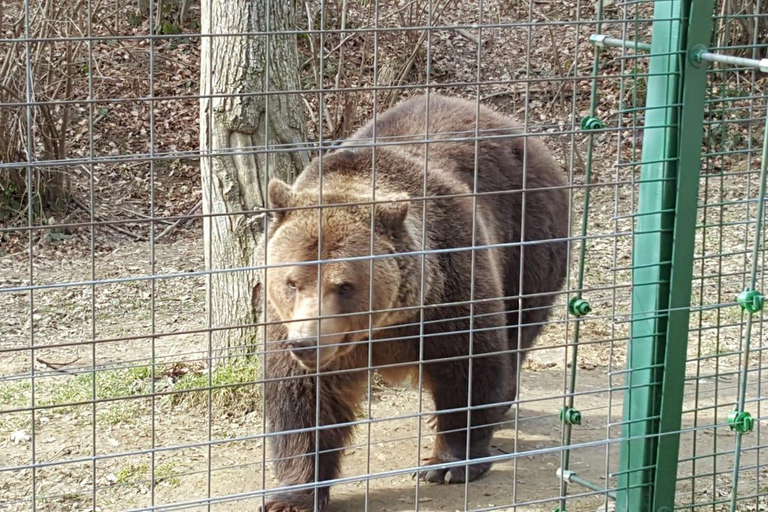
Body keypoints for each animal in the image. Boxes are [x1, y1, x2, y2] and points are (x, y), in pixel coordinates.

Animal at [260, 94, 568, 510]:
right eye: (292, 282)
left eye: (344, 286)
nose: (306, 343)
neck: (381, 327)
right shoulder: (289, 327)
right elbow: (303, 401)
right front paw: (293, 494)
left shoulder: (447, 289)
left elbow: (469, 366)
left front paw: (448, 464)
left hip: (529, 243)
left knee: (519, 329)